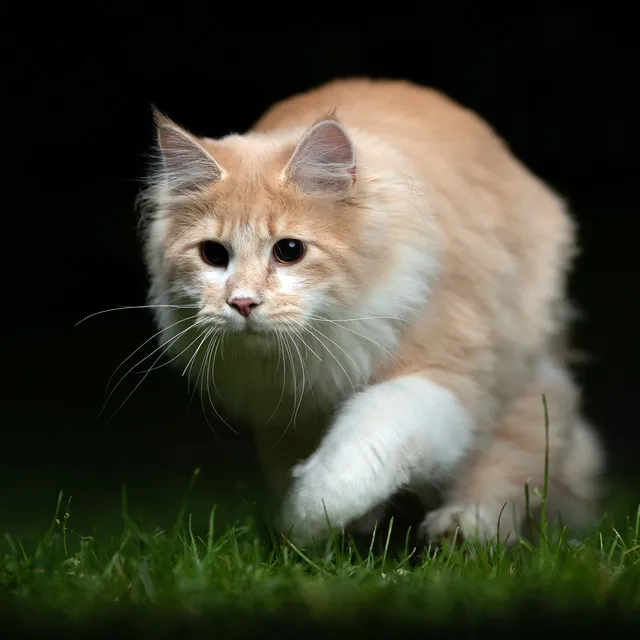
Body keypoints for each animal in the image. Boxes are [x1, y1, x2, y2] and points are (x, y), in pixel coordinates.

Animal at [140, 76, 604, 544]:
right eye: (213, 255)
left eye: (289, 251)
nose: (242, 302)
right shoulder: (284, 416)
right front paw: (333, 533)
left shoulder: (440, 375)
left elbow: (352, 460)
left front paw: (303, 520)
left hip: (518, 373)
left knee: (510, 457)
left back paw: (461, 529)